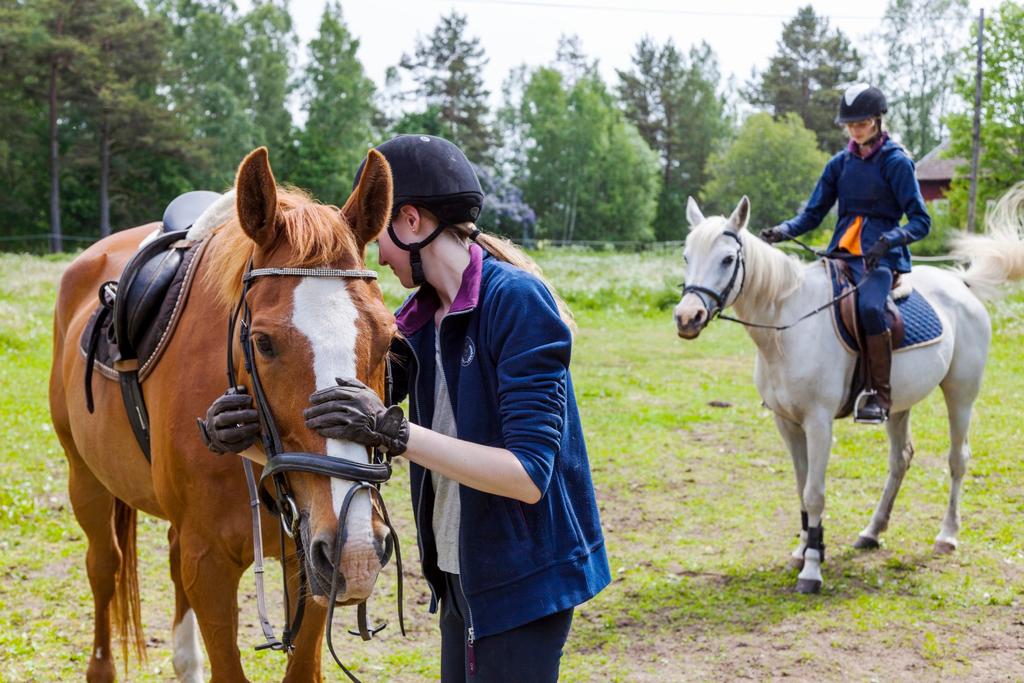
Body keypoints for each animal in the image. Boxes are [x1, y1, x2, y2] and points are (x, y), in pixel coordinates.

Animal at [49, 147, 397, 679]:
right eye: (263, 343)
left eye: (388, 336)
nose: (353, 548)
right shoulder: (209, 564)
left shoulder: (310, 562)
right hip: (85, 478)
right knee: (104, 565)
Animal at [671, 187, 1024, 593]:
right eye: (686, 256)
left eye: (728, 259)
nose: (687, 318)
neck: (787, 326)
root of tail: (961, 285)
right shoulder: (786, 422)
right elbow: (802, 488)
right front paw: (806, 549)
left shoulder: (818, 422)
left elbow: (815, 492)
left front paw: (811, 569)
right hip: (896, 403)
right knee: (900, 459)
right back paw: (872, 531)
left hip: (961, 393)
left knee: (957, 459)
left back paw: (947, 535)